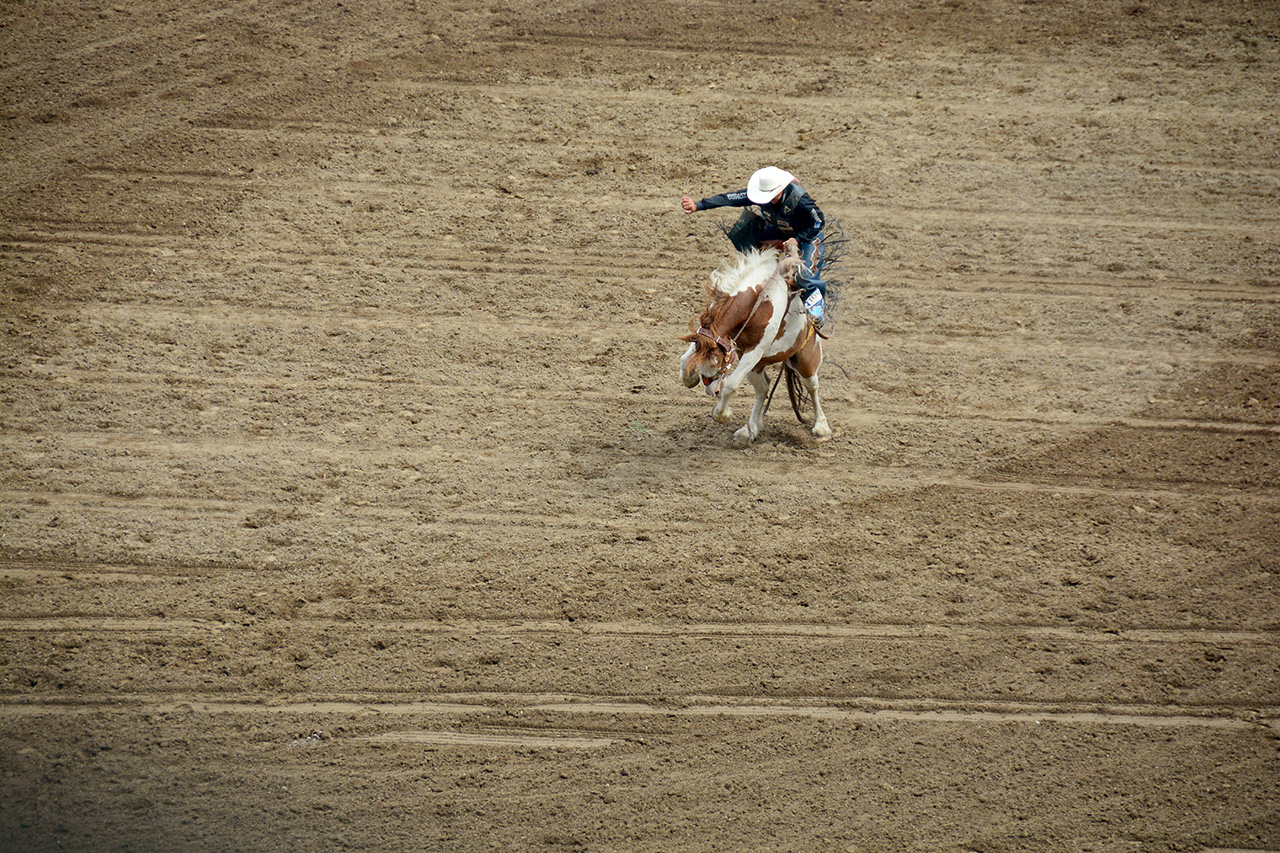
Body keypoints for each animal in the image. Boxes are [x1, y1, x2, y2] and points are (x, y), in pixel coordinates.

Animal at [680, 234, 829, 440]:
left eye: (718, 363)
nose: (712, 391)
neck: (758, 296)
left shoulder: (755, 350)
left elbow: (731, 385)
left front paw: (722, 413)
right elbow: (685, 360)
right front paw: (690, 377)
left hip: (806, 359)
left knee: (812, 386)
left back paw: (821, 427)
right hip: (756, 367)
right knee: (763, 388)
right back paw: (751, 428)